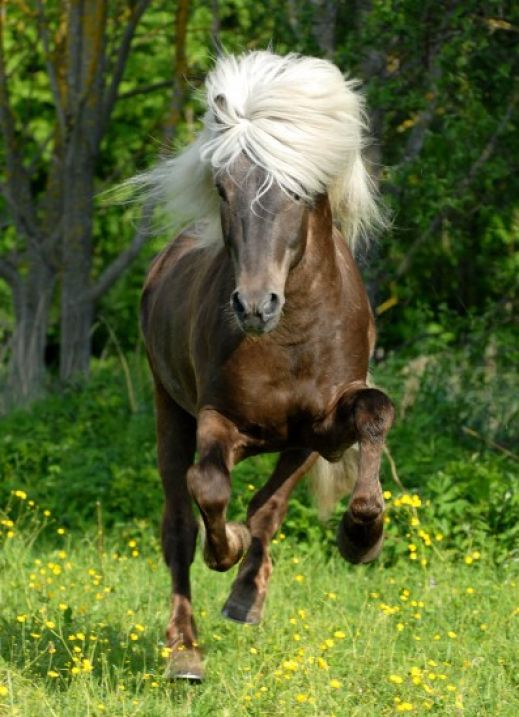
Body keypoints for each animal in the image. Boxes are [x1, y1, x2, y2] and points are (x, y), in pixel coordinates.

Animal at [136, 51, 394, 681]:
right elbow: (209, 489)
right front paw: (223, 546)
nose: (254, 306)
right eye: (224, 188)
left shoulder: (323, 430)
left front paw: (361, 535)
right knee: (178, 525)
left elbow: (372, 414)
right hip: (167, 409)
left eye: (300, 192)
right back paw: (185, 651)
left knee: (265, 508)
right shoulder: (217, 419)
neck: (291, 339)